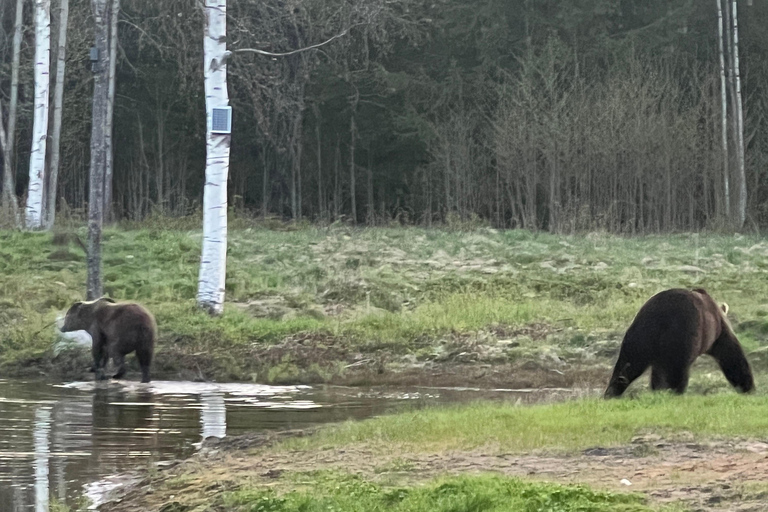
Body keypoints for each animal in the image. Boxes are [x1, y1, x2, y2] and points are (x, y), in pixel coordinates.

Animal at [604, 288, 754, 398]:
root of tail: (660, 312)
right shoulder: (718, 333)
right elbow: (731, 356)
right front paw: (747, 387)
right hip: (684, 331)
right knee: (679, 368)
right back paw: (676, 392)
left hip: (641, 332)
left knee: (628, 363)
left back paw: (612, 392)